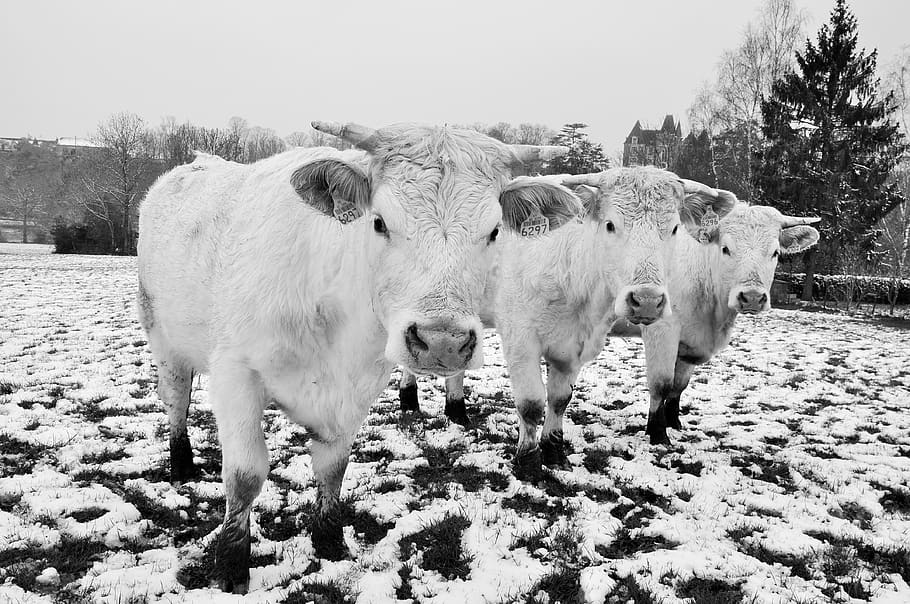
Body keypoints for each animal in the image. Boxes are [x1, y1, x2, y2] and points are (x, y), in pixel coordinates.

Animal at [136, 121, 582, 593]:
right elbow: (244, 476)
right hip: (163, 341)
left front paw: (329, 541)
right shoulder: (235, 376)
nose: (441, 342)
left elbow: (333, 468)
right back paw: (181, 464)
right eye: (379, 222)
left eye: (495, 231)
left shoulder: (356, 387)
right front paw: (233, 566)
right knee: (176, 402)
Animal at [398, 168, 738, 477]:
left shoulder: (575, 346)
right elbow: (531, 403)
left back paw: (456, 412)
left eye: (675, 228)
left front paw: (554, 451)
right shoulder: (520, 338)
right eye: (610, 224)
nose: (646, 300)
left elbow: (560, 399)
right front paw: (528, 462)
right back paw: (410, 401)